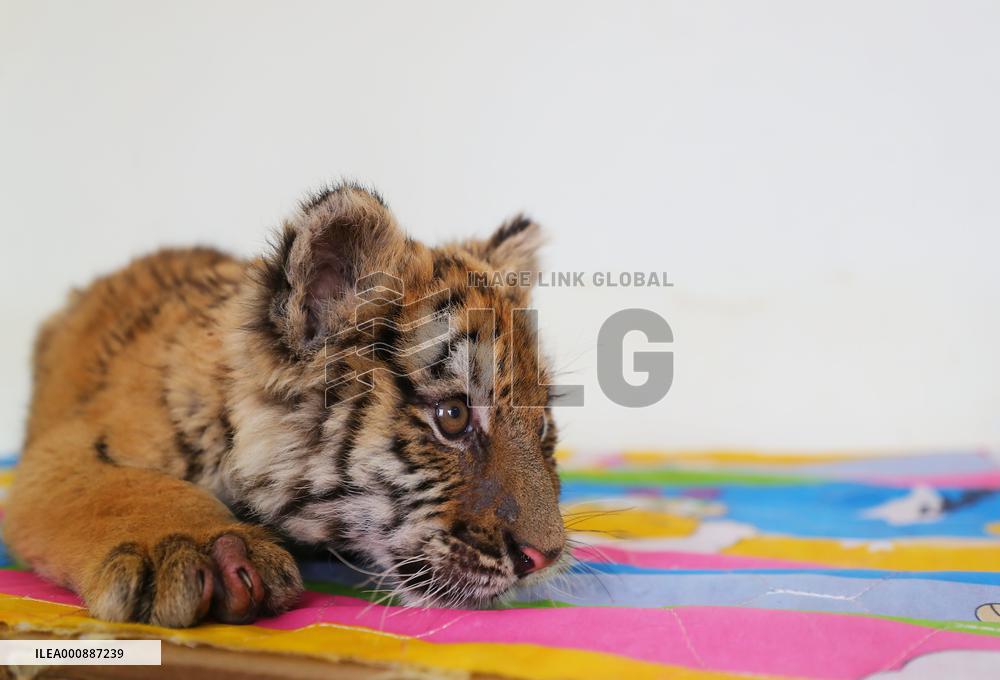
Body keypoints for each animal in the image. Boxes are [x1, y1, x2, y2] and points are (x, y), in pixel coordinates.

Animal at [3, 184, 565, 627]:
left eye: (542, 426)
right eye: (453, 416)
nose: (546, 557)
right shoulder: (68, 448)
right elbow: (125, 489)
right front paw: (190, 549)